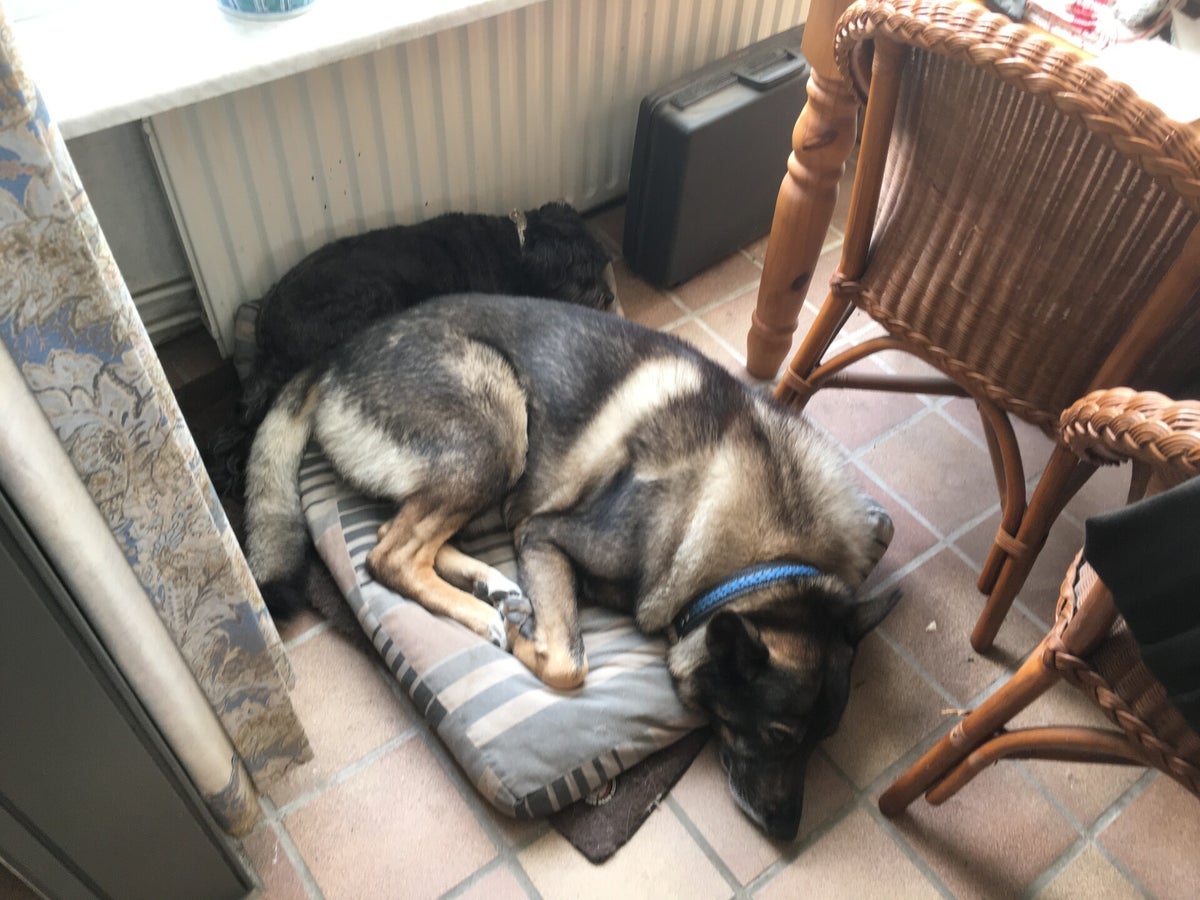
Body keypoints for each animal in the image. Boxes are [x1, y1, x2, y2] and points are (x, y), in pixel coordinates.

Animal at [212, 201, 616, 496]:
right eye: (583, 272)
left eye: (602, 264)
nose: (610, 297)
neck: (519, 247)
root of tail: (268, 320)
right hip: (372, 301)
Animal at [244, 294, 897, 840]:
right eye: (777, 736)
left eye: (825, 739)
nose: (788, 832)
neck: (768, 563)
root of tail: (331, 359)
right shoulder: (543, 535)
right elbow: (567, 664)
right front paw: (528, 641)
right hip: (498, 432)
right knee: (390, 555)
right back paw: (484, 614)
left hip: (489, 480)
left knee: (397, 534)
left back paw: (492, 585)